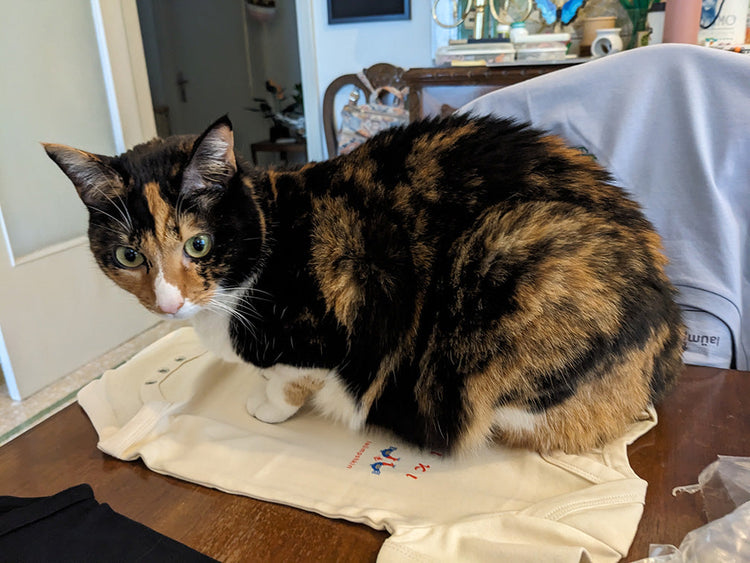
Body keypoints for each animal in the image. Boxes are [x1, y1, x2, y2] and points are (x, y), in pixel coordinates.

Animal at [44, 114, 684, 454]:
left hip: (513, 258)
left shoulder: (338, 318)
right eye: (129, 255)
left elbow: (294, 377)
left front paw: (268, 406)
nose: (169, 301)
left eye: (198, 245)